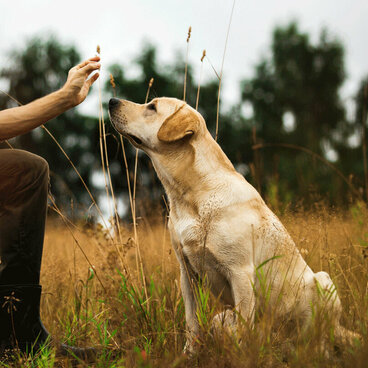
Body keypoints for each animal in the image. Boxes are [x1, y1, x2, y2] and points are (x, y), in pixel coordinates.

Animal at [108, 95, 350, 350]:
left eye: (152, 107)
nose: (112, 101)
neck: (191, 195)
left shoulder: (240, 272)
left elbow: (244, 329)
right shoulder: (187, 274)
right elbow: (192, 323)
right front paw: (189, 354)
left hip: (323, 281)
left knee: (320, 340)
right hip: (222, 317)